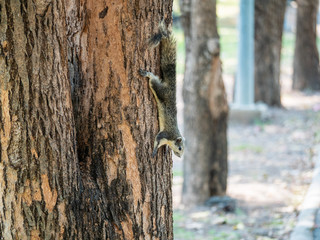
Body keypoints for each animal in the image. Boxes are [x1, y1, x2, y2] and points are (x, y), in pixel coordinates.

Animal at [139, 20, 185, 158]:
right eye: (180, 148)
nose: (180, 156)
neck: (174, 137)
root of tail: (171, 87)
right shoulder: (166, 134)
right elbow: (157, 139)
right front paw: (154, 151)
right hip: (159, 89)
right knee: (153, 80)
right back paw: (147, 74)